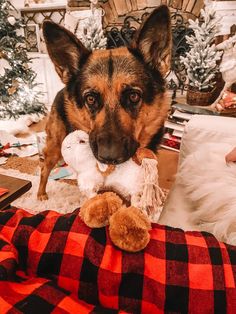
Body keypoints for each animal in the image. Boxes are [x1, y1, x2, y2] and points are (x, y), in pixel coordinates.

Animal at [37, 4, 172, 200]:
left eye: (133, 96)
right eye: (91, 98)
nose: (109, 157)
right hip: (55, 146)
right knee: (44, 168)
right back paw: (41, 193)